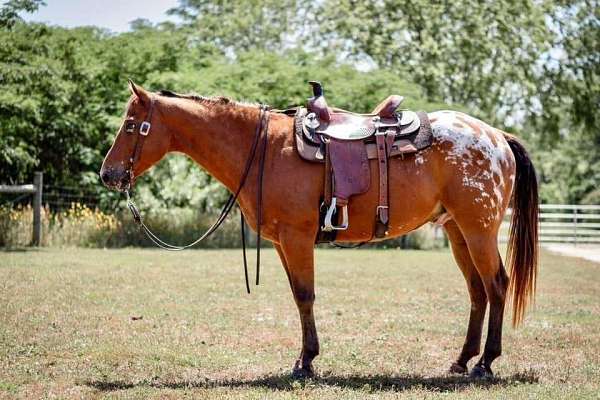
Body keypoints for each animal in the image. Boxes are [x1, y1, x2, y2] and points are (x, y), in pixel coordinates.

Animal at [99, 81, 540, 378]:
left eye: (131, 125)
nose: (108, 174)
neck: (262, 148)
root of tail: (497, 137)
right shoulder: (282, 242)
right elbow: (299, 296)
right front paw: (305, 357)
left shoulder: (297, 238)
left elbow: (305, 296)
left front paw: (306, 362)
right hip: (457, 233)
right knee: (477, 291)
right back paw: (462, 360)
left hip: (479, 230)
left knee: (496, 285)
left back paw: (485, 363)